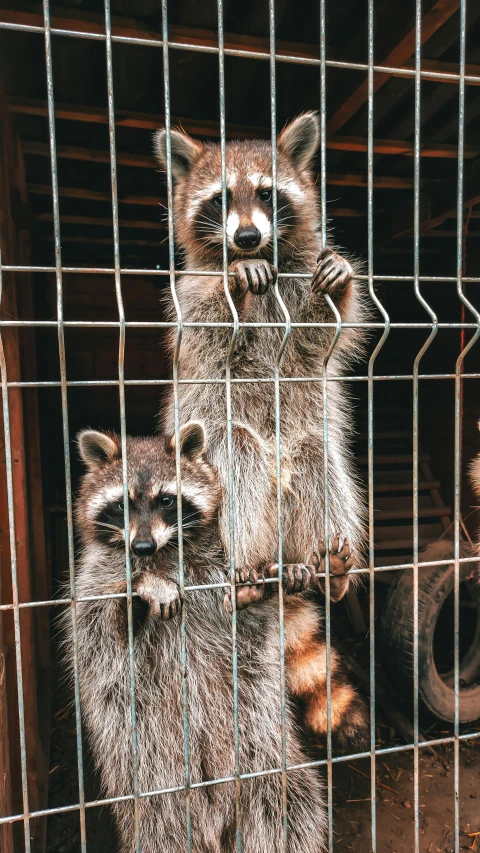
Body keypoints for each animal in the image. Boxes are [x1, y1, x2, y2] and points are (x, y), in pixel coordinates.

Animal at [68, 422, 330, 848]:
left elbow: (250, 616)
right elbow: (104, 631)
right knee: (161, 822)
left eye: (166, 500)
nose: (142, 545)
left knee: (286, 804)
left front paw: (270, 581)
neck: (164, 552)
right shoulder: (94, 579)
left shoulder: (213, 563)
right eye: (121, 505)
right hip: (148, 762)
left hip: (258, 741)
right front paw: (144, 588)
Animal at [156, 111, 370, 744]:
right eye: (221, 198)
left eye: (269, 194)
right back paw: (249, 566)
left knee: (321, 463)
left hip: (307, 470)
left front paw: (341, 281)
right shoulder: (188, 301)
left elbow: (320, 342)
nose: (248, 239)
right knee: (240, 456)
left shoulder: (300, 292)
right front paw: (232, 274)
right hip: (219, 471)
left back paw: (326, 568)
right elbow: (204, 332)